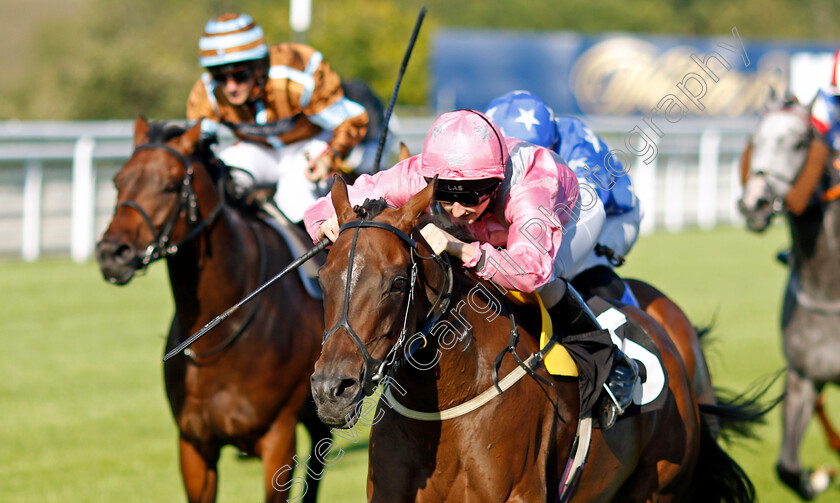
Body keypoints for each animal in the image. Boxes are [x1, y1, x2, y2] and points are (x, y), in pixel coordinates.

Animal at [93, 118, 326, 503]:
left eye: (171, 185)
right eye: (118, 181)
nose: (113, 253)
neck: (219, 326)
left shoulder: (278, 439)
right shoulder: (194, 443)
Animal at [736, 91, 840, 500]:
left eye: (798, 143)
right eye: (756, 138)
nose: (754, 204)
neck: (827, 286)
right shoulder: (803, 377)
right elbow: (787, 468)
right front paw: (816, 478)